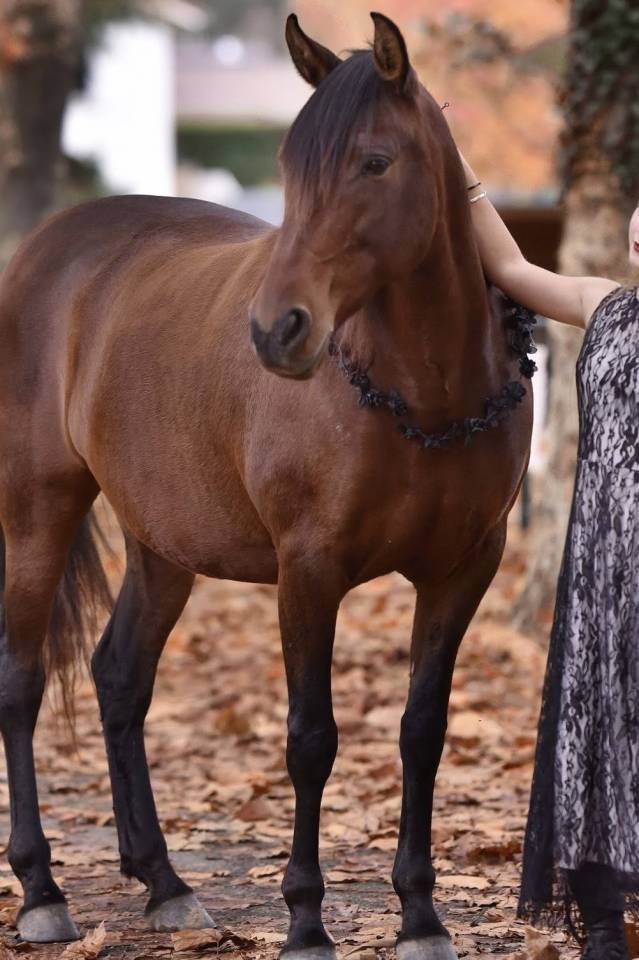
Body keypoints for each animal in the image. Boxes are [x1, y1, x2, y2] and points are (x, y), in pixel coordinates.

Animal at [0, 12, 532, 960]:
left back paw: (165, 883)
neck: (426, 394)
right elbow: (310, 739)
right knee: (22, 682)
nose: (277, 329)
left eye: (375, 161)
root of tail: (49, 248)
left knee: (119, 677)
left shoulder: (462, 570)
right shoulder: (308, 571)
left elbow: (421, 731)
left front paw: (420, 916)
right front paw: (306, 921)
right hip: (38, 509)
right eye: (288, 165)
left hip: (162, 545)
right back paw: (40, 892)